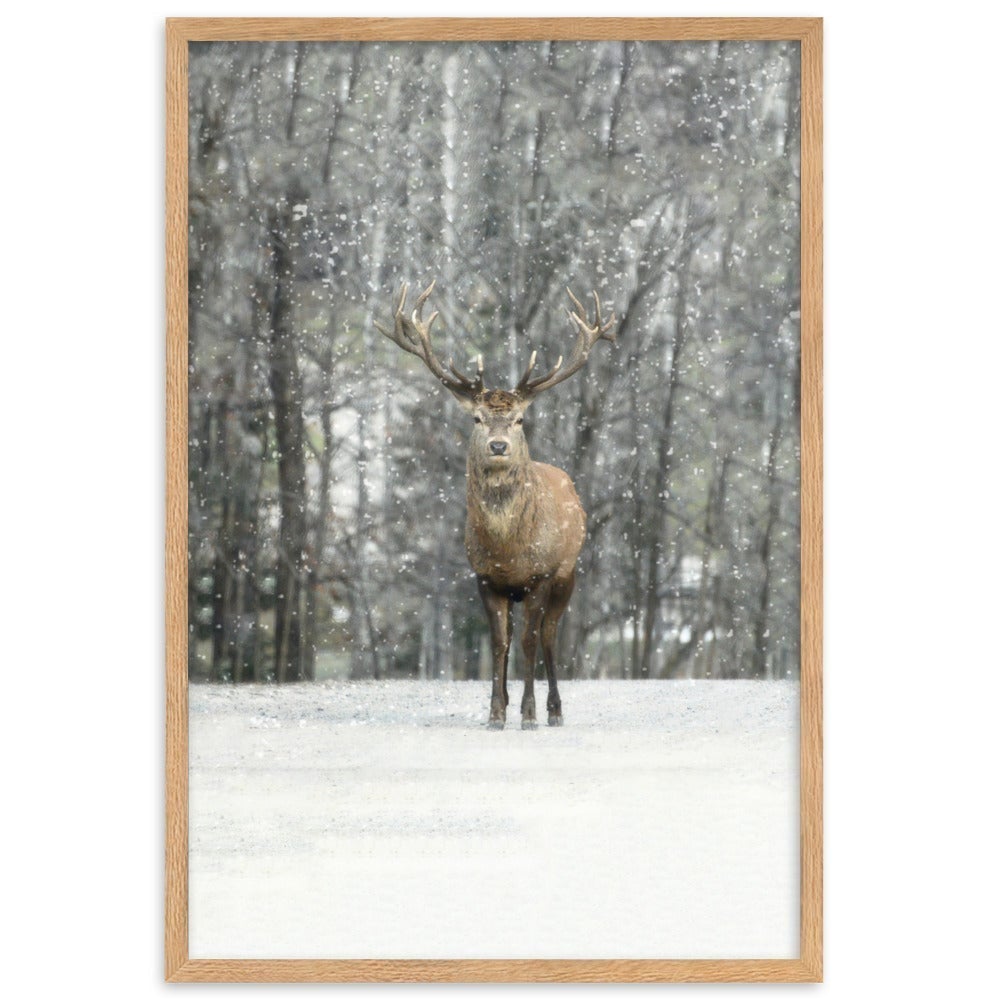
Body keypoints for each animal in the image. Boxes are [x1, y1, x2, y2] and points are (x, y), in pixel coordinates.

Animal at [375, 281, 616, 730]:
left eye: (519, 419)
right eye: (477, 419)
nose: (499, 446)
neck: (508, 549)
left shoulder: (539, 574)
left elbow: (528, 641)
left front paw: (529, 713)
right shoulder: (485, 577)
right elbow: (498, 642)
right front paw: (496, 711)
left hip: (568, 572)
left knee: (550, 635)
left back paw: (555, 710)